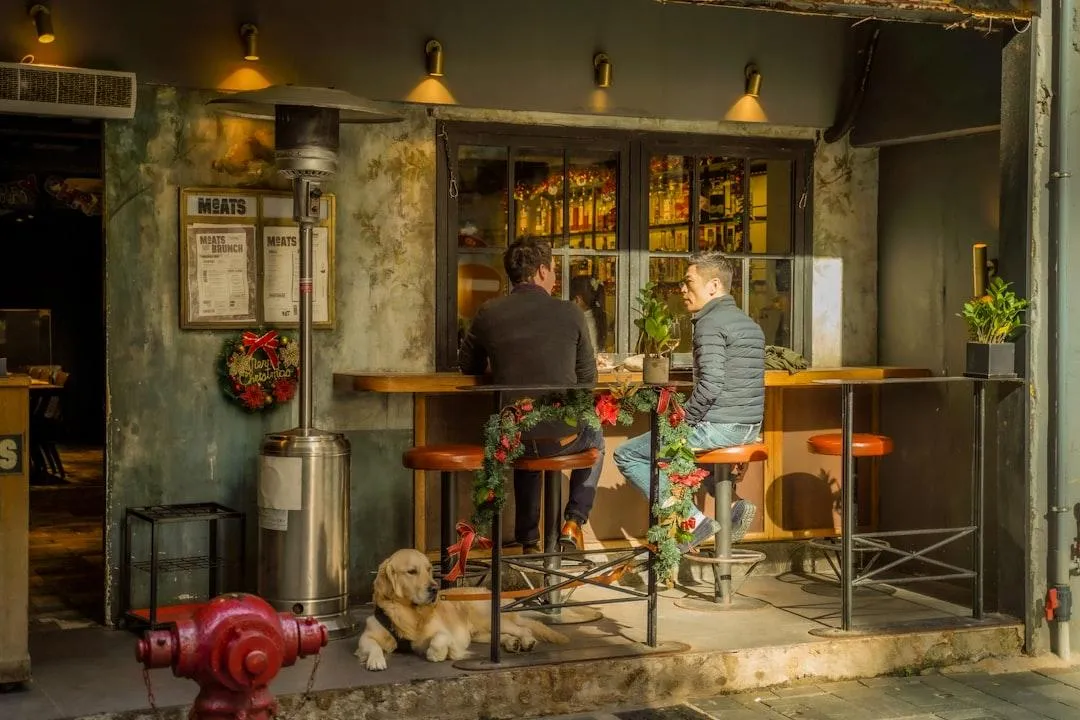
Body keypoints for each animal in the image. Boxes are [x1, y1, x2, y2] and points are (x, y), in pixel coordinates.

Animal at [356, 548, 574, 673]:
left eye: (429, 569)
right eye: (411, 571)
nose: (434, 589)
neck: (409, 611)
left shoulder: (443, 632)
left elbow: (438, 640)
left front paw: (440, 654)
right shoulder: (367, 635)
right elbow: (372, 645)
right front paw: (376, 660)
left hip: (487, 618)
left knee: (524, 629)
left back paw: (526, 641)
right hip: (481, 632)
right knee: (502, 636)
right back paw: (512, 643)